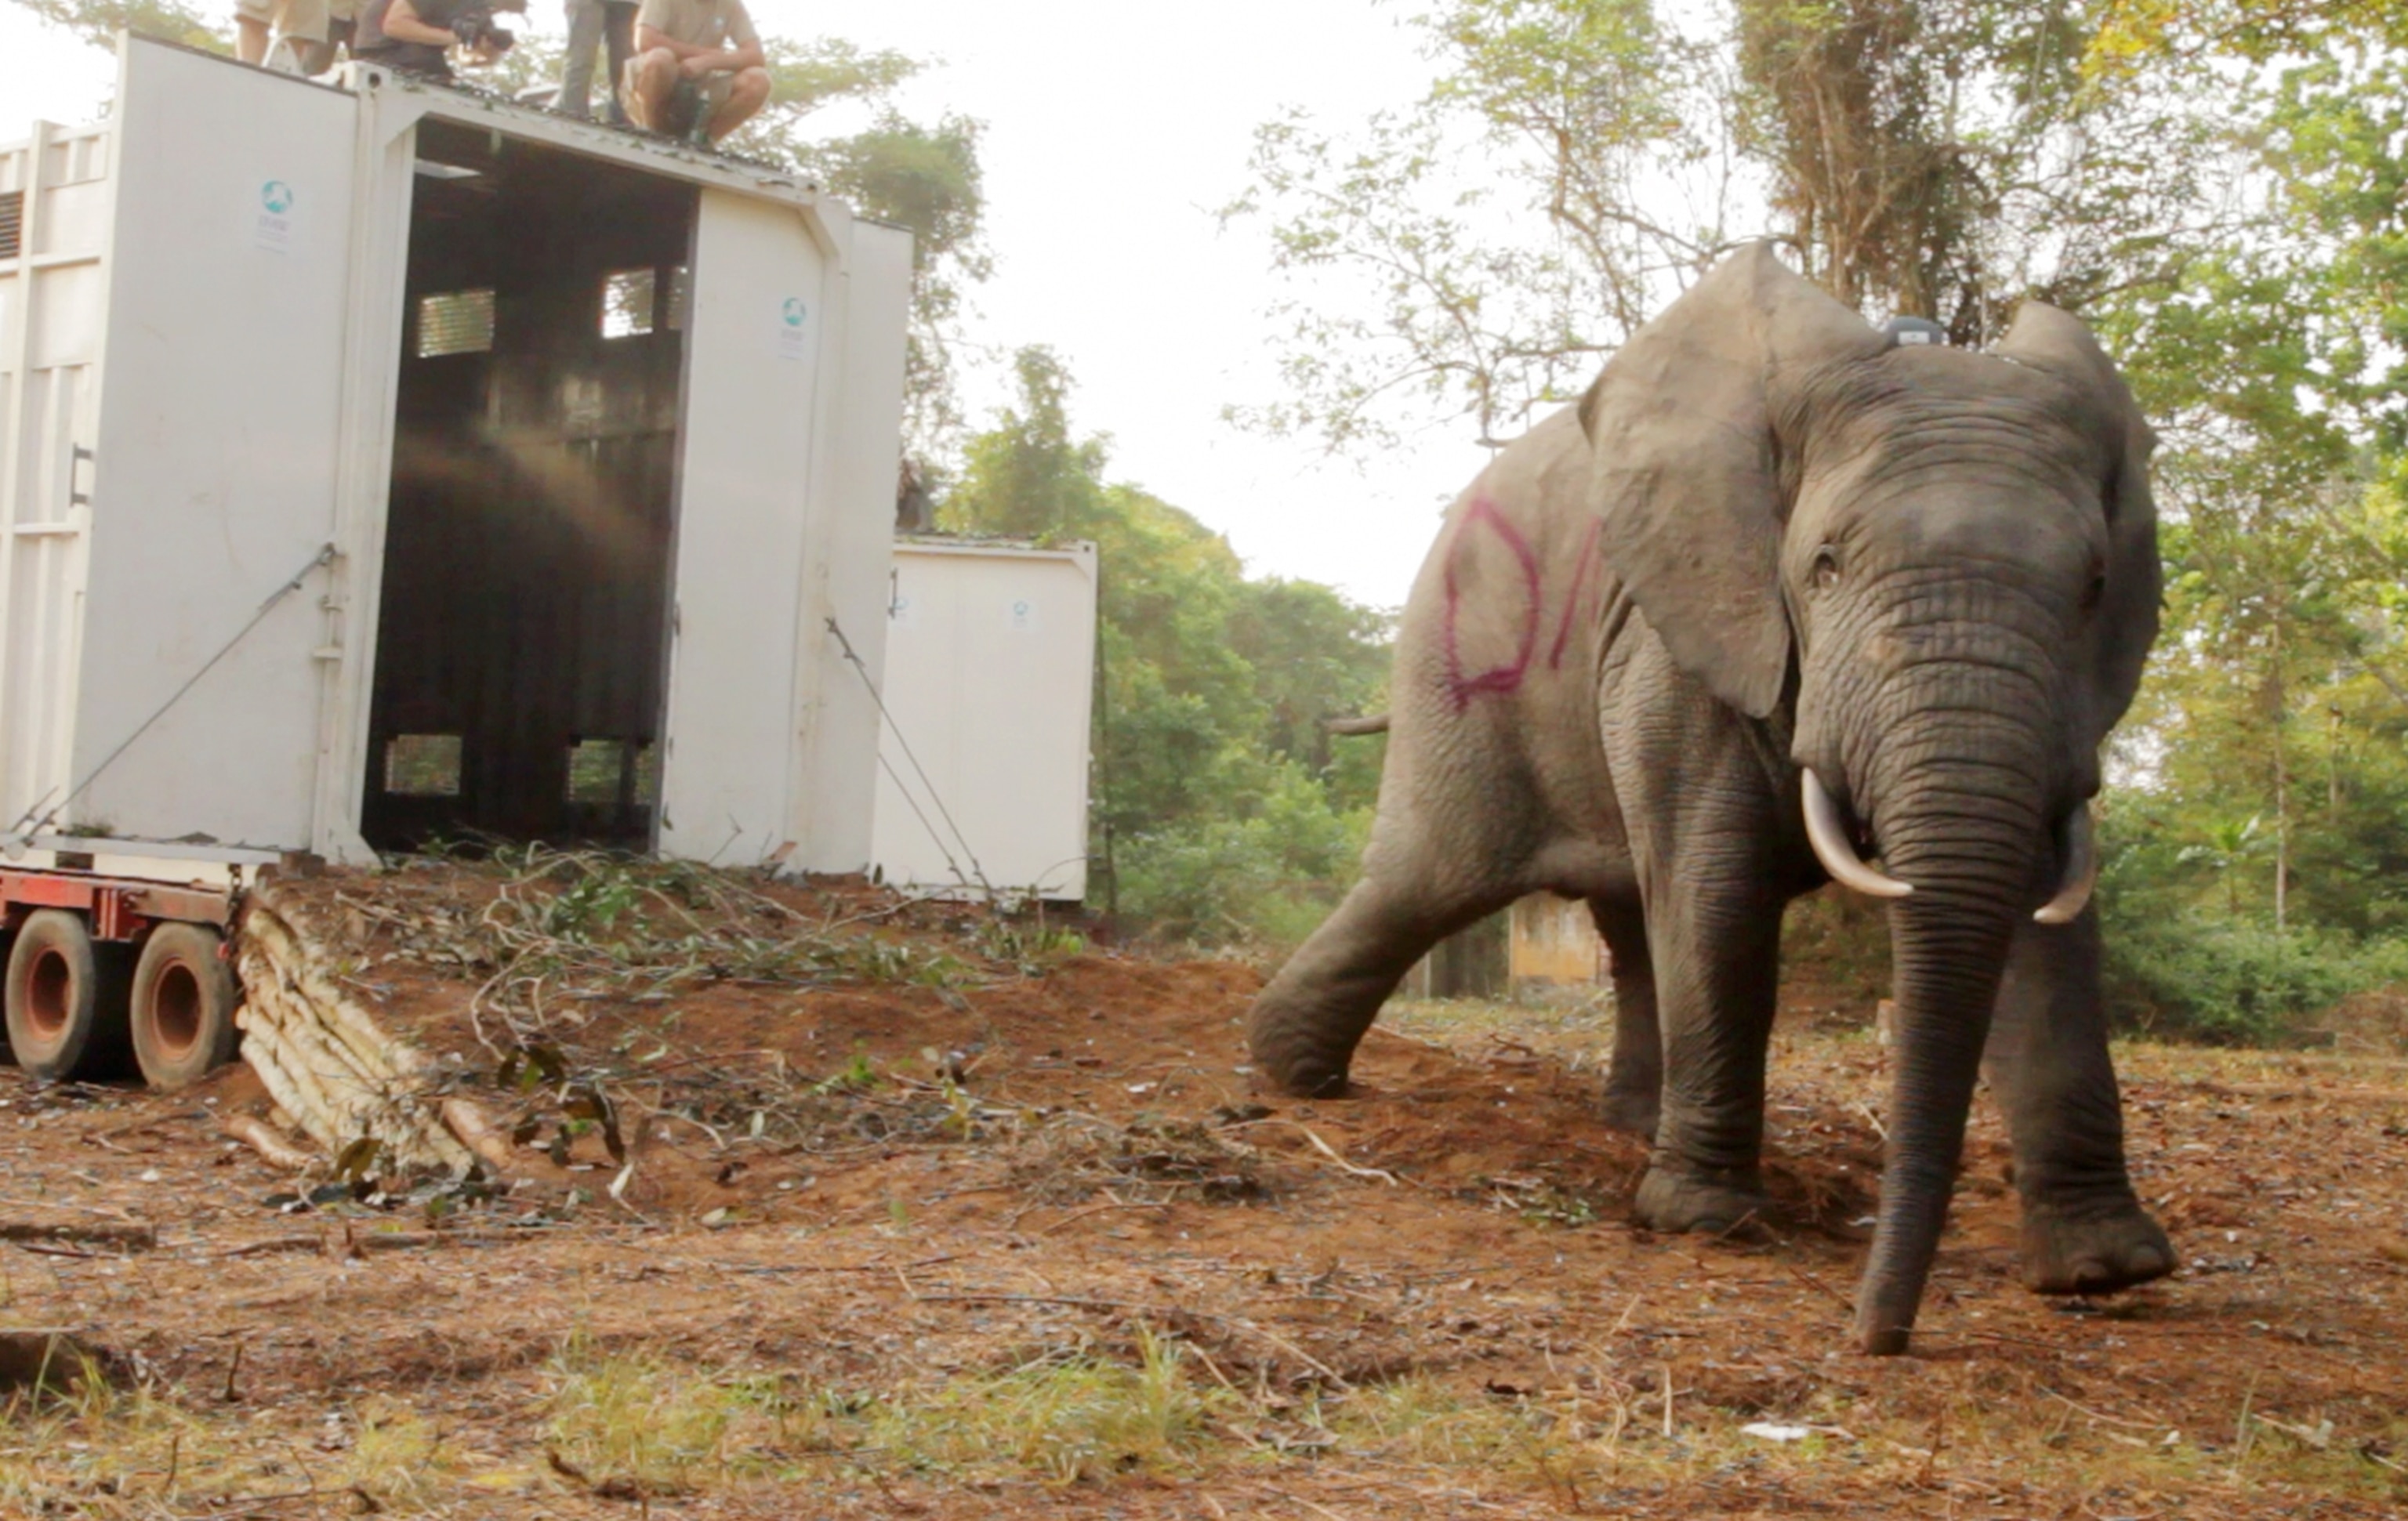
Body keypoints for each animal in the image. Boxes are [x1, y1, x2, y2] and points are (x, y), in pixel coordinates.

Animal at [1246, 243, 2176, 1355]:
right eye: (1824, 567)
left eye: (2094, 589)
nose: (1877, 1335)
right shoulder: (1685, 627)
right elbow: (1718, 885)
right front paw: (1703, 1222)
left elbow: (2047, 924)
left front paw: (2107, 1272)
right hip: (1455, 661)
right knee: (1430, 879)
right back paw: (1289, 1074)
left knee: (1619, 912)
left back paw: (1630, 1128)